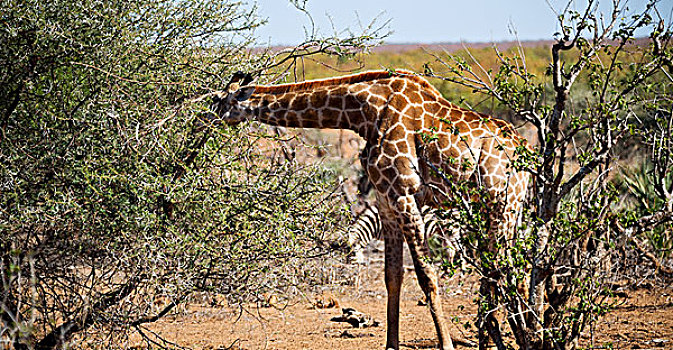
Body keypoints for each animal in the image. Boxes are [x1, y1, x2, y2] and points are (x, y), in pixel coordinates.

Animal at [211, 69, 532, 348]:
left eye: (219, 99)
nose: (207, 117)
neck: (365, 112)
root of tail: (524, 150)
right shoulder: (386, 200)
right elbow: (393, 276)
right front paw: (391, 345)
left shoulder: (404, 193)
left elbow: (426, 275)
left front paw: (447, 344)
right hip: (504, 209)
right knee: (513, 270)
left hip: (501, 205)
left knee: (505, 270)